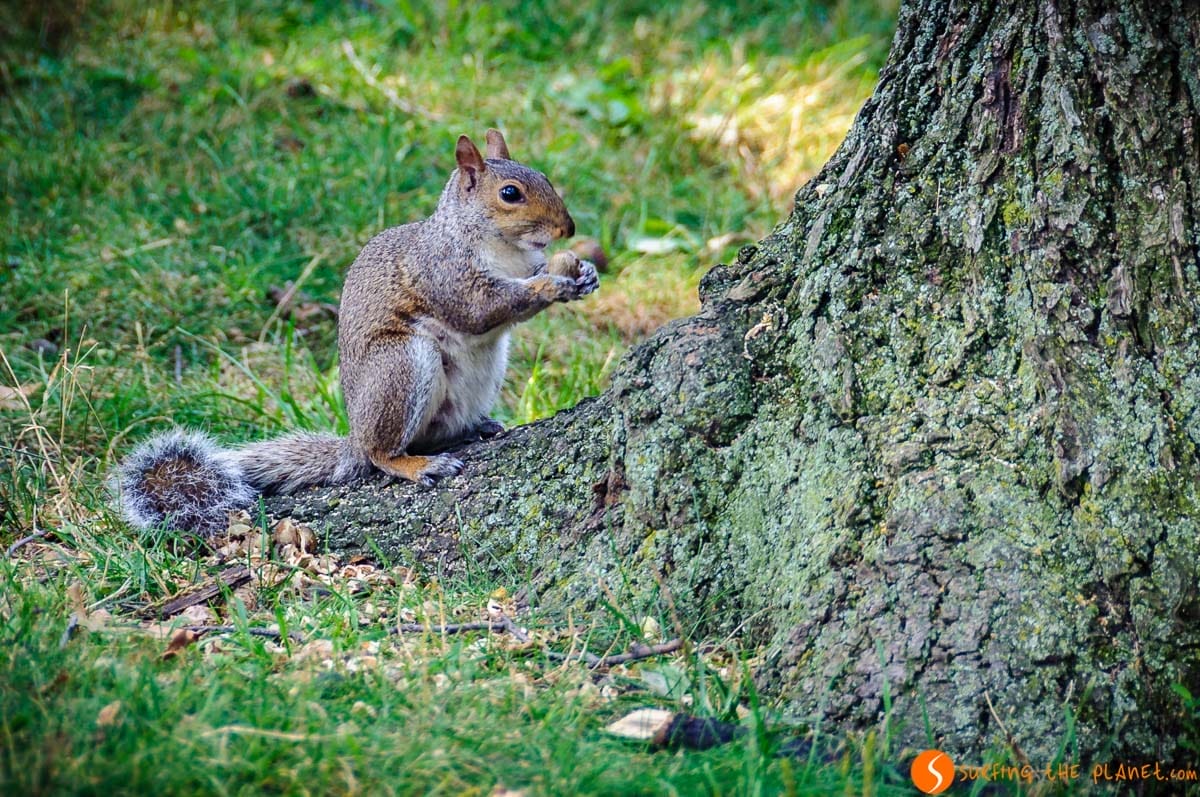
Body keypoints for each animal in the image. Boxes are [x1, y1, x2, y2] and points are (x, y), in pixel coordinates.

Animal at [115, 129, 599, 536]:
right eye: (510, 193)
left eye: (544, 176)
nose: (568, 228)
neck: (503, 248)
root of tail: (355, 434)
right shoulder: (444, 273)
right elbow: (480, 309)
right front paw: (550, 285)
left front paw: (584, 274)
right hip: (400, 366)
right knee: (381, 454)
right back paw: (417, 465)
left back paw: (476, 427)